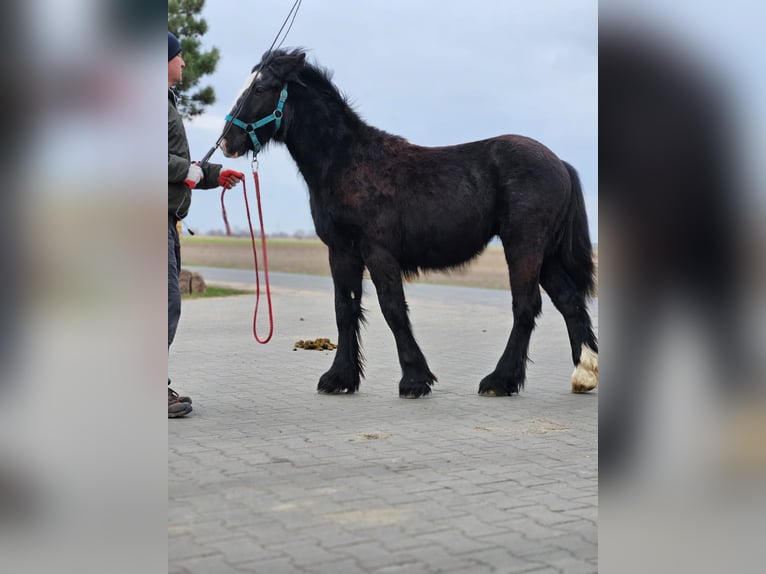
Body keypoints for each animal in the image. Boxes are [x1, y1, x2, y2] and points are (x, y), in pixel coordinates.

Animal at [221, 48, 598, 398]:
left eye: (260, 88)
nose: (226, 142)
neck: (347, 161)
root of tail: (560, 164)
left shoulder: (378, 252)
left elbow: (392, 309)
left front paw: (415, 380)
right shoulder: (342, 252)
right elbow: (345, 309)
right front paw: (339, 378)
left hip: (524, 246)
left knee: (526, 305)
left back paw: (499, 381)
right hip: (546, 254)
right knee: (568, 300)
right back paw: (584, 373)